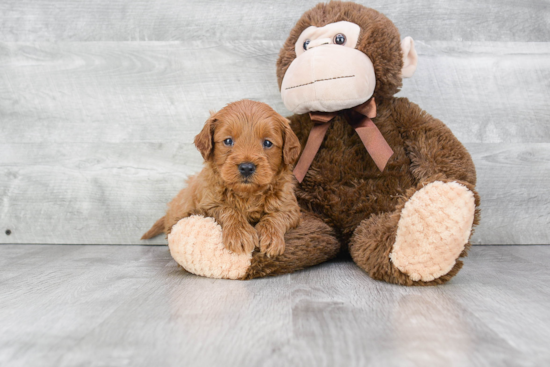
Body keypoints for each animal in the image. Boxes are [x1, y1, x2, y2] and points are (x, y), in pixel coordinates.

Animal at [142, 99, 302, 258]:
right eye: (228, 141)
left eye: (268, 143)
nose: (246, 167)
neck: (247, 195)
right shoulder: (206, 204)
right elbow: (228, 209)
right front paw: (239, 234)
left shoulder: (290, 206)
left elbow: (277, 215)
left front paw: (270, 236)